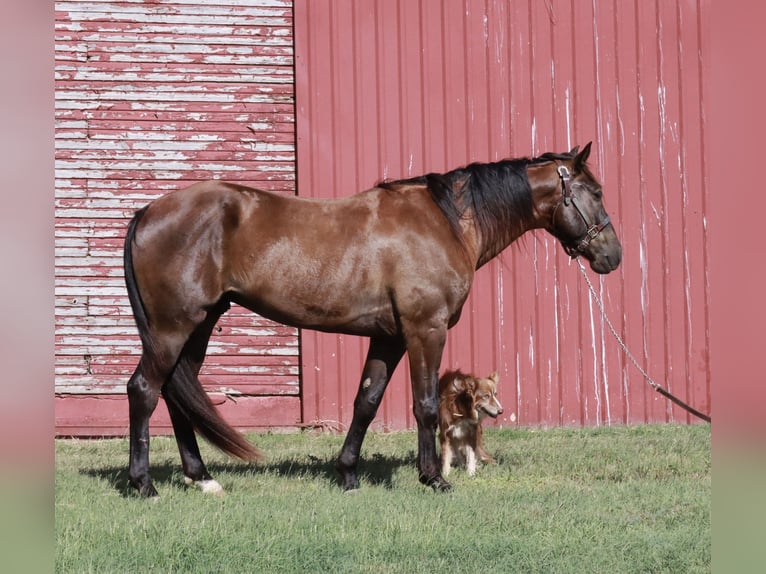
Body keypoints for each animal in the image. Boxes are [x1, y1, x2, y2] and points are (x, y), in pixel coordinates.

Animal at [122, 142, 621, 496]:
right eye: (595, 193)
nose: (612, 256)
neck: (446, 224)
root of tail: (148, 211)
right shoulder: (425, 330)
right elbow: (423, 405)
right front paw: (433, 478)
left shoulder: (390, 338)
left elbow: (366, 401)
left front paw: (347, 475)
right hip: (173, 327)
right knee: (145, 390)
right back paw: (143, 484)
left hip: (200, 325)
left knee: (176, 392)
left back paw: (201, 477)